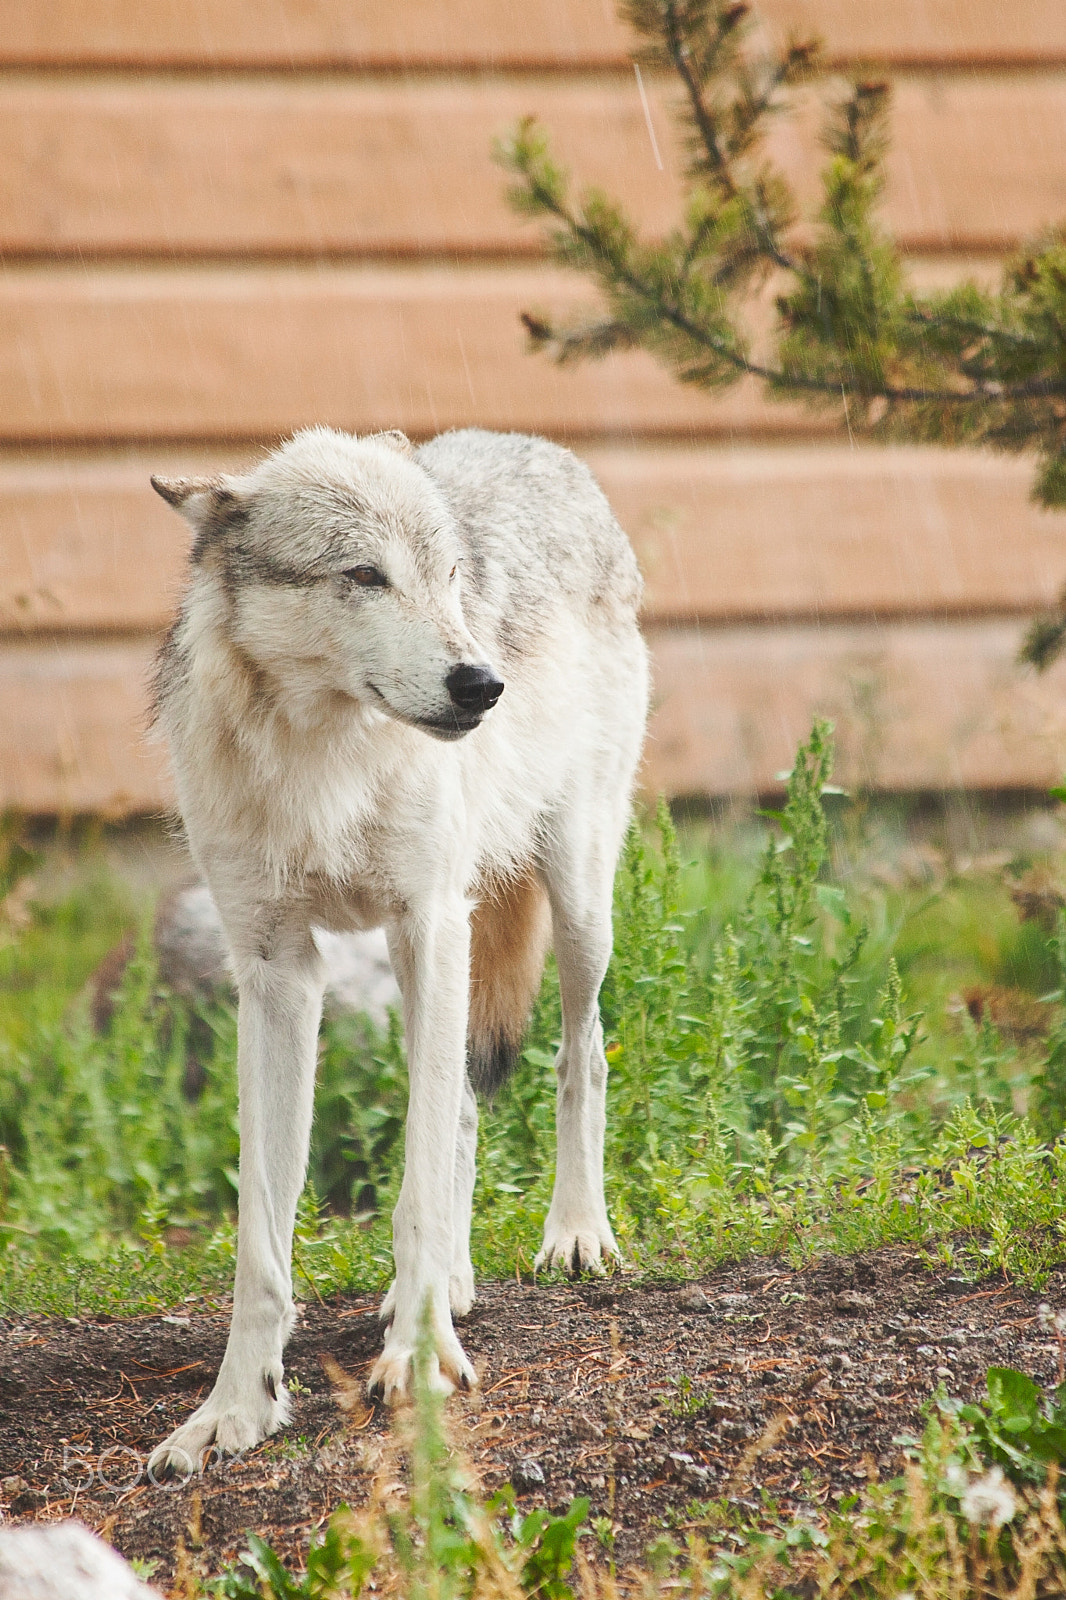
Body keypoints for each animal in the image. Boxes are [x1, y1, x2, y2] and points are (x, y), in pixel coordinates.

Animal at [146, 425, 648, 1475]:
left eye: (449, 575)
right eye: (364, 576)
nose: (482, 685)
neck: (324, 755)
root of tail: (543, 448)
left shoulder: (429, 919)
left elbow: (412, 1192)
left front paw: (417, 1361)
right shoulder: (276, 969)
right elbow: (262, 1236)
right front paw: (234, 1410)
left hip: (576, 904)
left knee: (581, 1058)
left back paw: (577, 1237)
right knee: (457, 1106)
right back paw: (451, 1282)